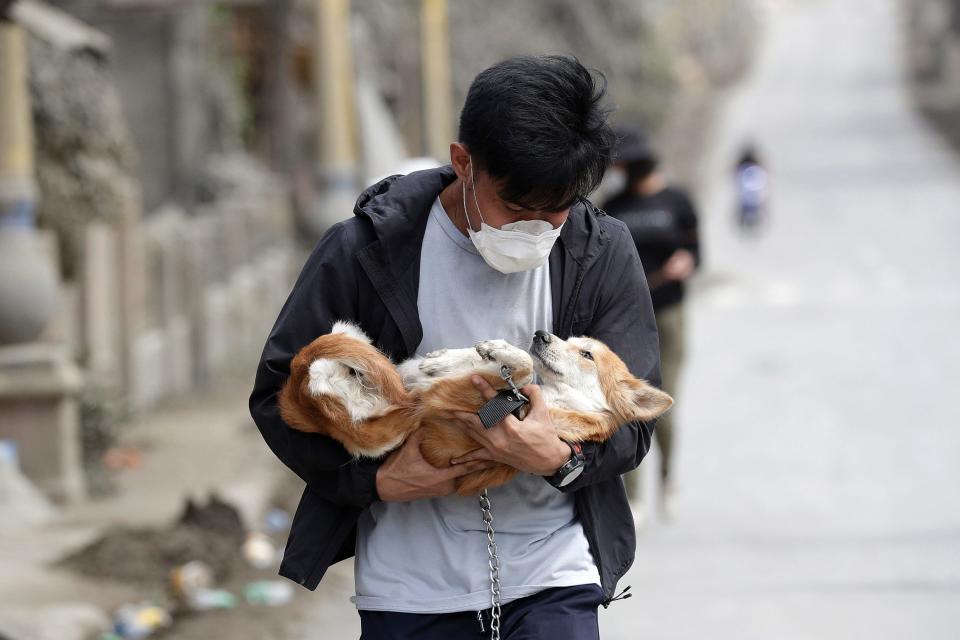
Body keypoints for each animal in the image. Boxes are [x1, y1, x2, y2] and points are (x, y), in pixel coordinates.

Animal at [278, 320, 672, 496]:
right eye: (568, 339)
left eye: (587, 354)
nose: (541, 334)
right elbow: (496, 361)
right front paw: (469, 353)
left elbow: (521, 366)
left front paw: (497, 354)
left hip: (366, 418)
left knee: (328, 383)